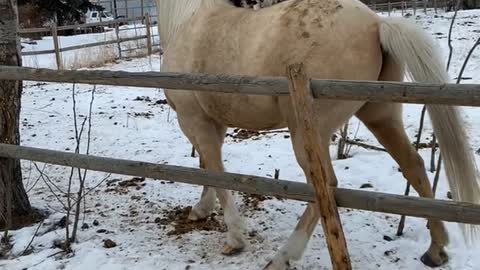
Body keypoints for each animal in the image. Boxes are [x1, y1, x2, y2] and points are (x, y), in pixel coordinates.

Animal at [156, 0, 478, 268]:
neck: (186, 20)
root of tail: (376, 22)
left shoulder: (193, 119)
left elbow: (216, 173)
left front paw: (234, 238)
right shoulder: (212, 123)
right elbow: (207, 167)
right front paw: (202, 209)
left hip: (308, 135)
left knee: (327, 185)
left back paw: (283, 256)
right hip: (381, 116)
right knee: (414, 166)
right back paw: (436, 249)